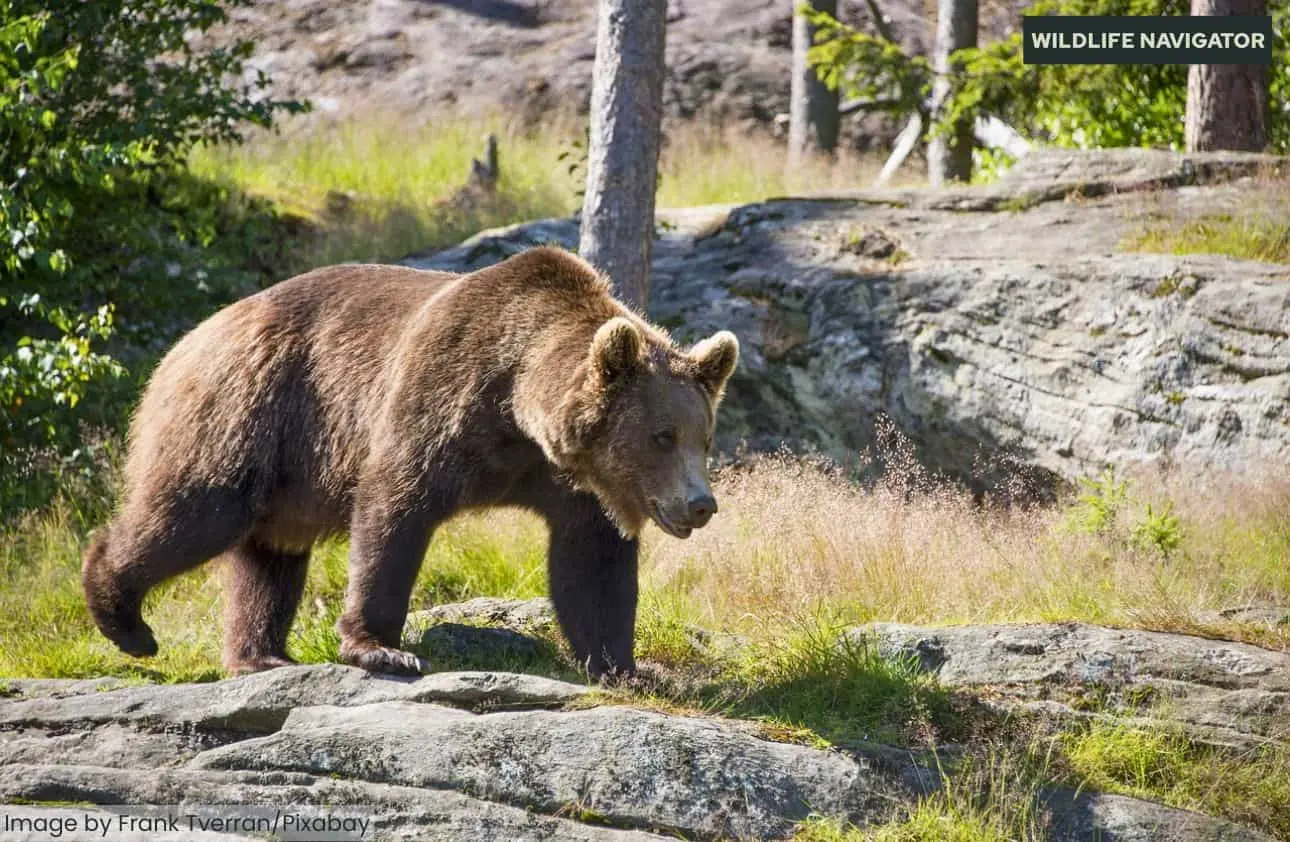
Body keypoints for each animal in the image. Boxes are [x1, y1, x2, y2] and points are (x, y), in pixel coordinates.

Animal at [81, 246, 739, 678]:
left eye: (703, 437)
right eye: (661, 436)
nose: (700, 505)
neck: (517, 409)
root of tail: (190, 337)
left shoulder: (570, 481)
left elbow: (592, 563)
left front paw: (624, 666)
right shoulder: (440, 399)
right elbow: (394, 510)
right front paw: (382, 647)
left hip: (285, 469)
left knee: (270, 555)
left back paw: (260, 654)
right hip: (248, 410)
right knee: (197, 509)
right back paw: (125, 619)